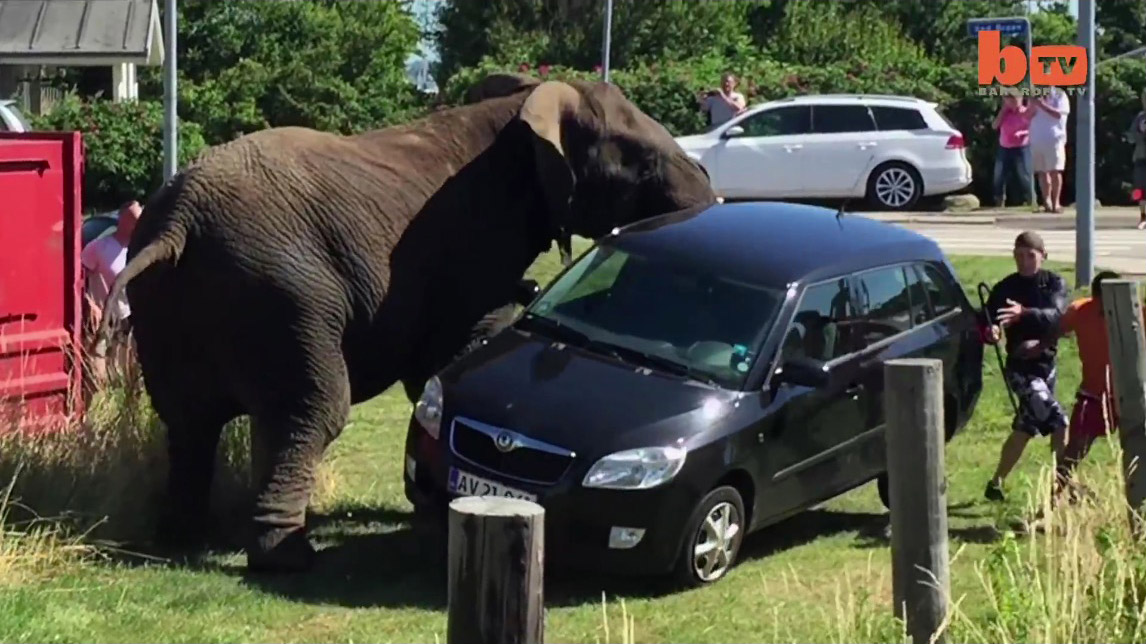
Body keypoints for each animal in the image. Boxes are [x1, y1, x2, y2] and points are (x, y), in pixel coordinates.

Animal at [100, 71, 715, 570]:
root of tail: (177, 224)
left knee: (188, 423)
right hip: (281, 295)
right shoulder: (477, 241)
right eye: (644, 163)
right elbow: (458, 349)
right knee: (312, 411)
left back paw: (182, 538)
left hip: (170, 307)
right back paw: (289, 557)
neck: (522, 105)